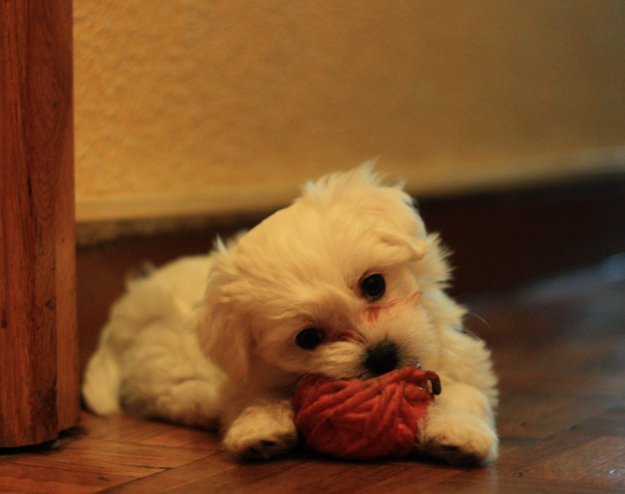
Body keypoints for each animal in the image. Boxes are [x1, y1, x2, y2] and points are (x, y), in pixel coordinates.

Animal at [81, 165, 498, 464]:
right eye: (308, 338)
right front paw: (259, 432)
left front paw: (458, 435)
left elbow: (461, 392)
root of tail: (128, 310)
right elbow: (259, 399)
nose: (381, 356)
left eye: (374, 284)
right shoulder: (248, 379)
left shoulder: (461, 358)